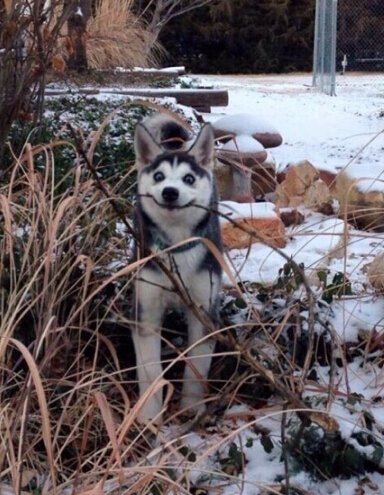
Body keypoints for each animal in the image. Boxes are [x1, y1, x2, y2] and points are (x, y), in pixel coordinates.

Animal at [132, 114, 222, 424]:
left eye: (188, 179)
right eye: (159, 177)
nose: (170, 192)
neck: (175, 247)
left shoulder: (204, 310)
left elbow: (197, 364)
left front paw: (191, 407)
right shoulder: (146, 312)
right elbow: (150, 370)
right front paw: (149, 415)